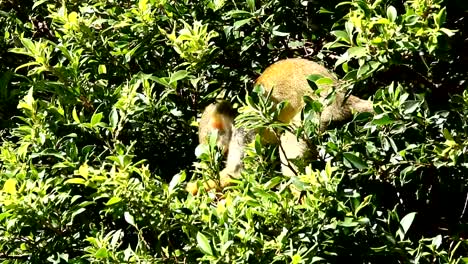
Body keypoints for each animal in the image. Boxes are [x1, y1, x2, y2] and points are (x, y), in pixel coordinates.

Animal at [186, 58, 372, 194]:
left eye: (215, 149)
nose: (217, 158)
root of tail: (343, 95)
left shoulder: (245, 126)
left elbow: (236, 170)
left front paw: (189, 189)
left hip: (322, 109)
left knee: (292, 136)